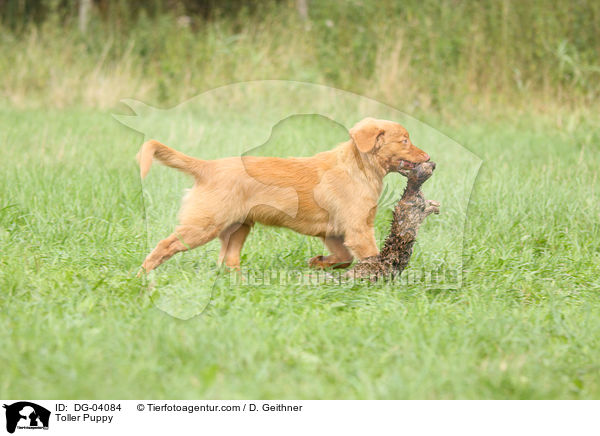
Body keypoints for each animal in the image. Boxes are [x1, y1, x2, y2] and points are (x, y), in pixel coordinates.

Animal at [137, 117, 428, 270]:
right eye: (404, 140)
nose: (428, 158)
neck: (359, 167)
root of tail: (208, 167)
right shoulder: (358, 230)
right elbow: (372, 258)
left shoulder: (335, 233)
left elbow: (344, 259)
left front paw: (319, 261)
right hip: (203, 224)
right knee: (164, 246)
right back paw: (143, 278)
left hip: (238, 227)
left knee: (228, 260)